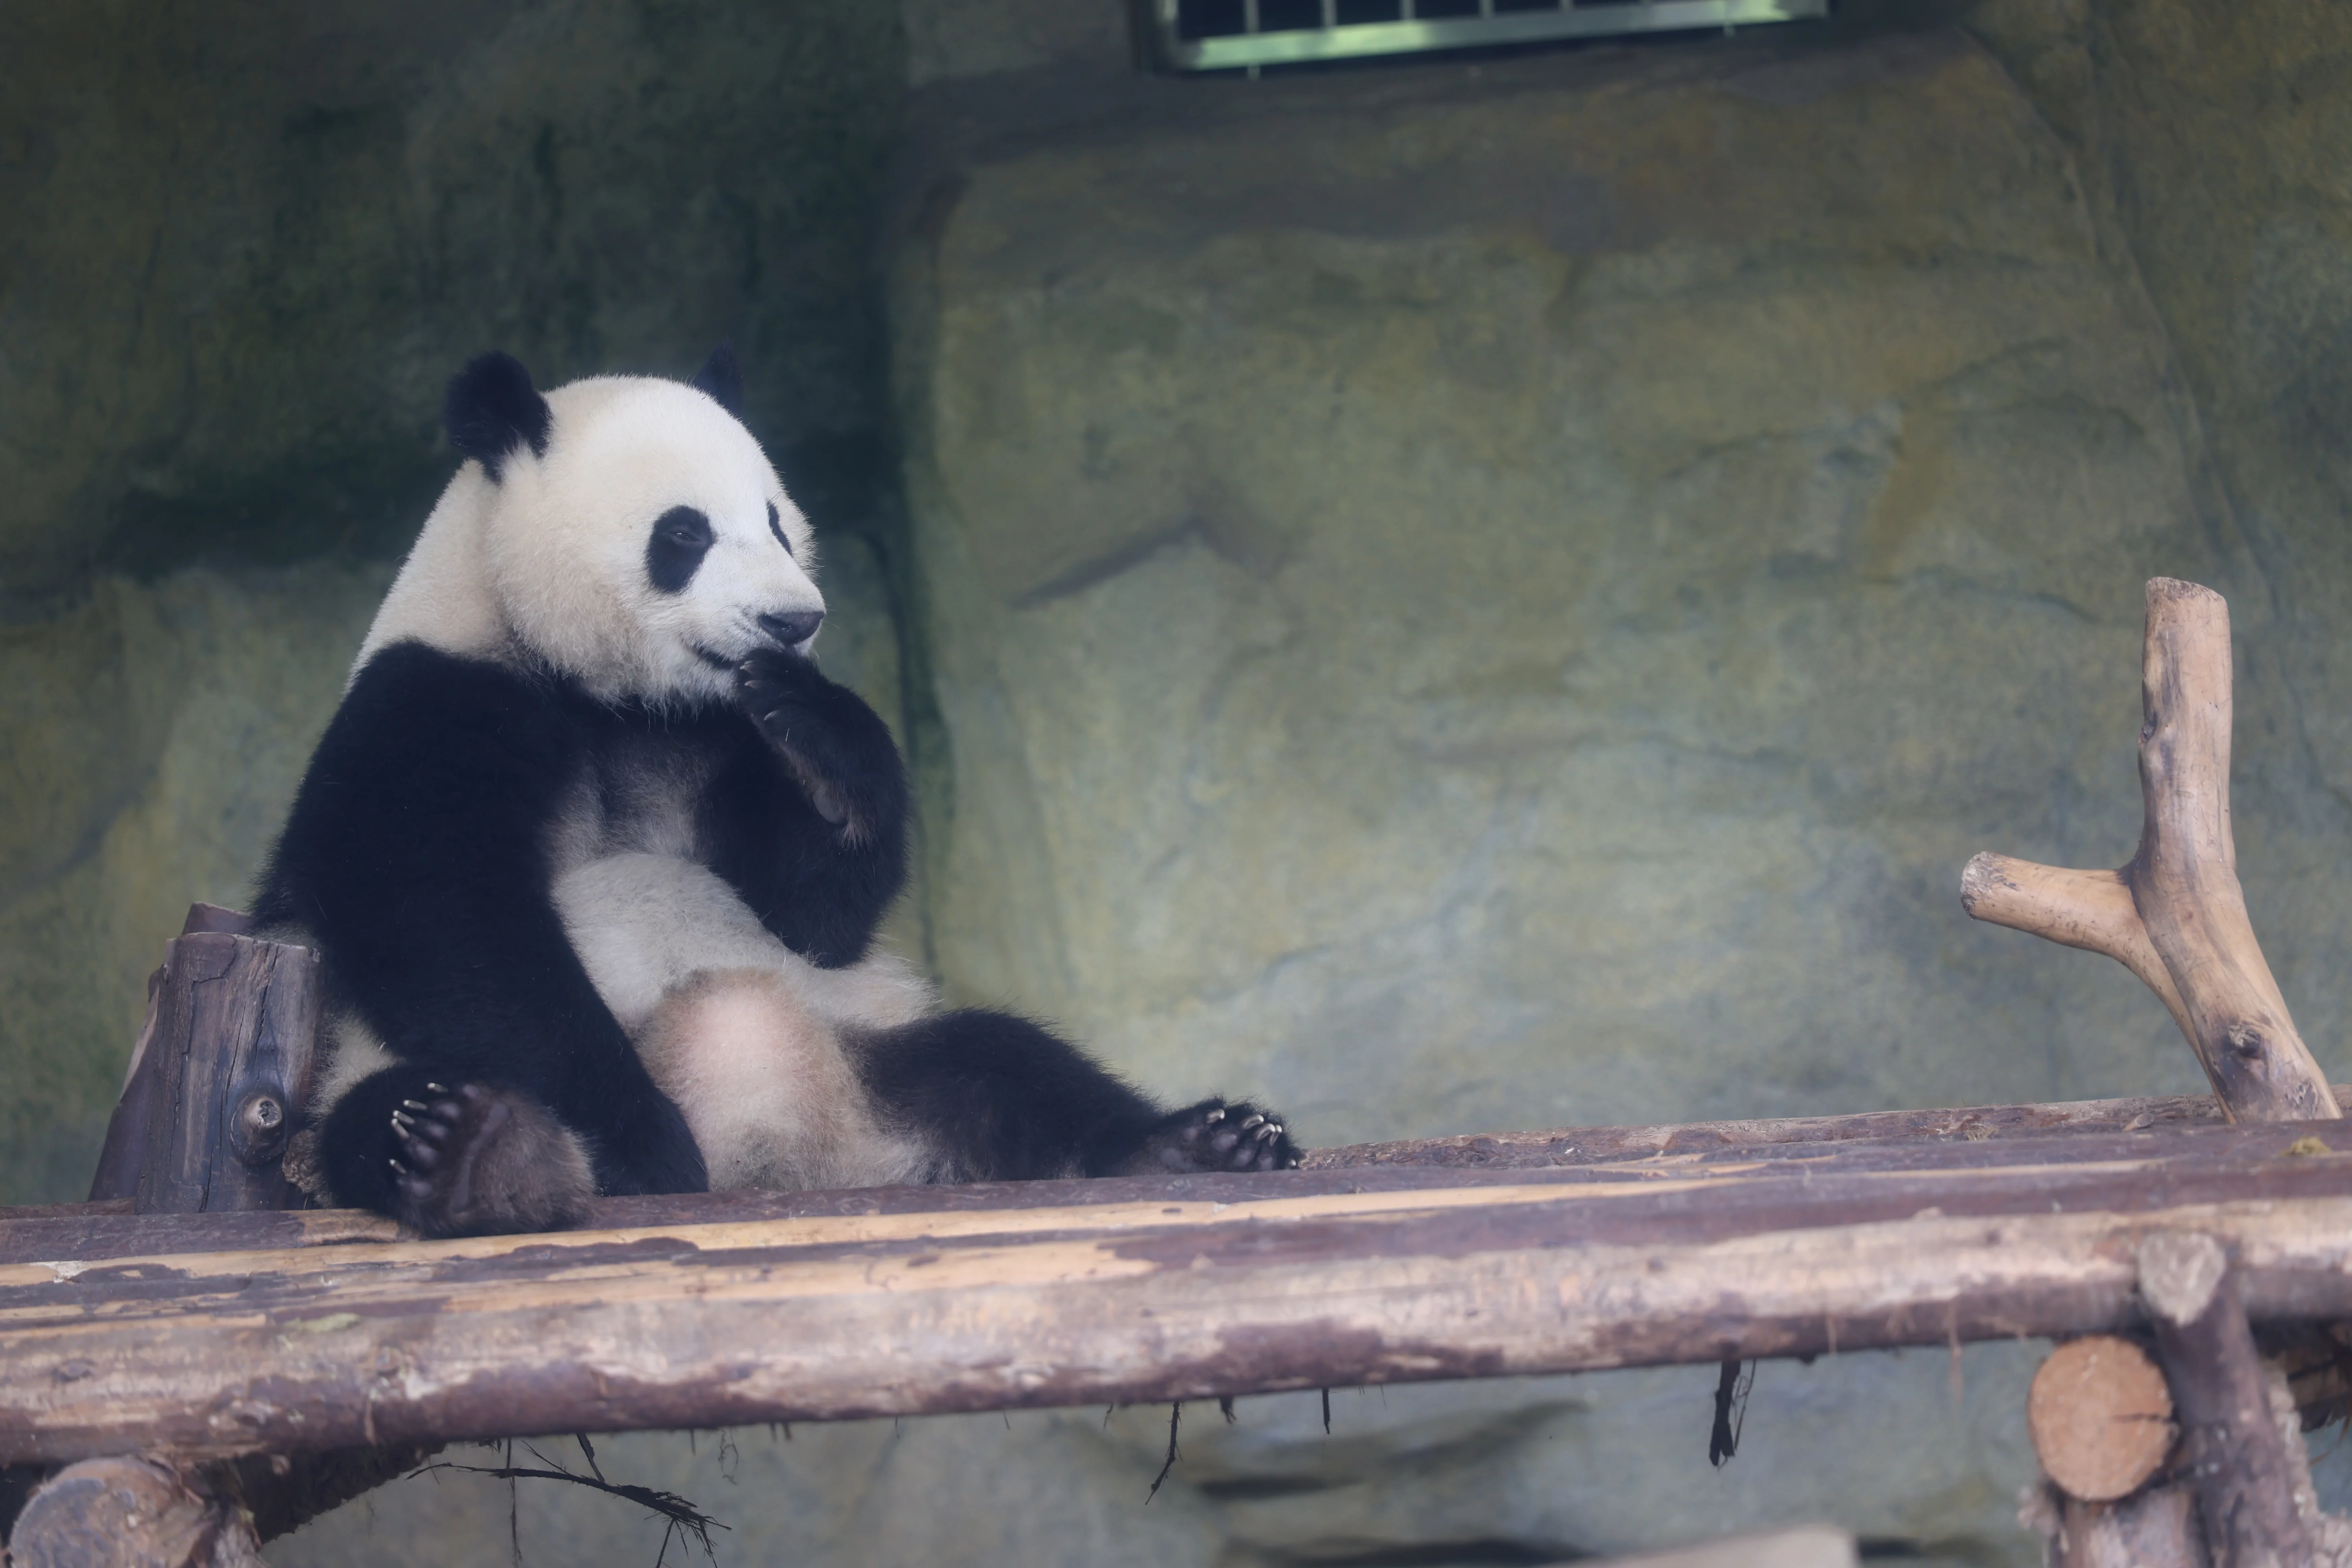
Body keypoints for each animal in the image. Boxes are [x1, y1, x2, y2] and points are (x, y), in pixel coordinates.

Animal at [256, 346, 1300, 1238]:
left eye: (775, 521)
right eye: (683, 533)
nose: (793, 621)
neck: (613, 697)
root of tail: (786, 1158)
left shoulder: (721, 737)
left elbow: (813, 917)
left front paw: (820, 740)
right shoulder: (432, 703)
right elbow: (445, 923)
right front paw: (641, 1147)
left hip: (870, 1037)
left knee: (1004, 1063)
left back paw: (1194, 1144)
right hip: (360, 1075)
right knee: (382, 1118)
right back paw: (482, 1156)